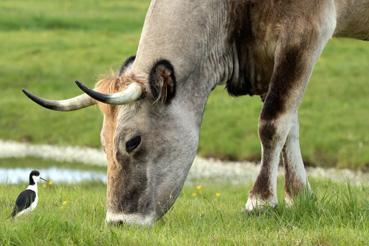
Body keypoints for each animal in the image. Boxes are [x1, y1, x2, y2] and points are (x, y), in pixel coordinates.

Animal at [23, 0, 368, 227]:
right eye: (102, 144)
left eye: (132, 142)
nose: (118, 221)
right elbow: (290, 124)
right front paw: (299, 196)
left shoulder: (303, 33)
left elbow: (272, 122)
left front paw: (259, 201)